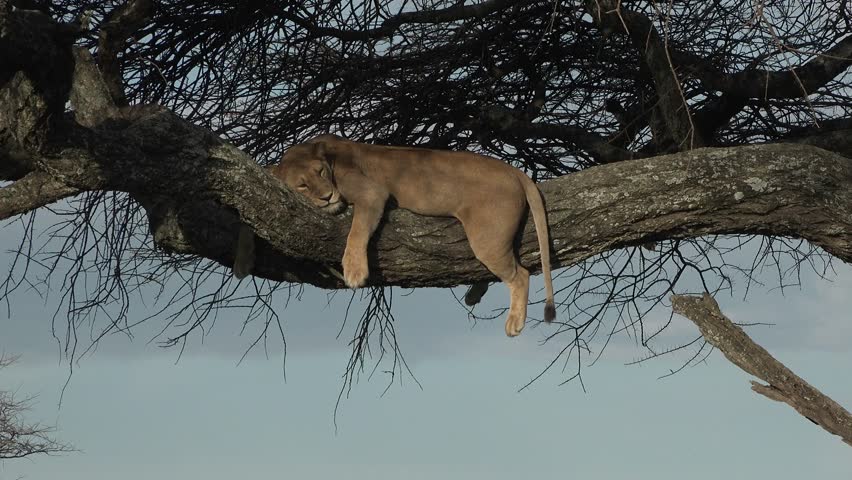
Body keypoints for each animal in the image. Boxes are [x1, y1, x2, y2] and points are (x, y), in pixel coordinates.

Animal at [233, 134, 555, 337]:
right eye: (302, 185)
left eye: (321, 173)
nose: (327, 197)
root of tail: (513, 171)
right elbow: (247, 216)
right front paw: (242, 263)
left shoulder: (372, 193)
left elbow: (356, 232)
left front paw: (354, 272)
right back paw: (475, 293)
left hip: (487, 237)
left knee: (520, 274)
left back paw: (514, 322)